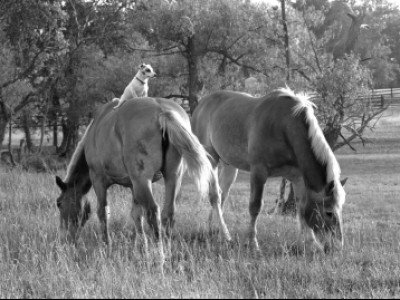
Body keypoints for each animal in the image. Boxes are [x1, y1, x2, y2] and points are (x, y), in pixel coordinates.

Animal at [191, 88, 346, 252]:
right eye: (329, 212)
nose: (338, 246)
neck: (284, 126)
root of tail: (202, 103)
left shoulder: (298, 178)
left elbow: (302, 207)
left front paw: (311, 243)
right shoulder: (259, 172)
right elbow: (255, 206)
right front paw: (252, 243)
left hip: (230, 166)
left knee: (222, 194)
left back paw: (214, 230)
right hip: (211, 159)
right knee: (215, 195)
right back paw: (225, 235)